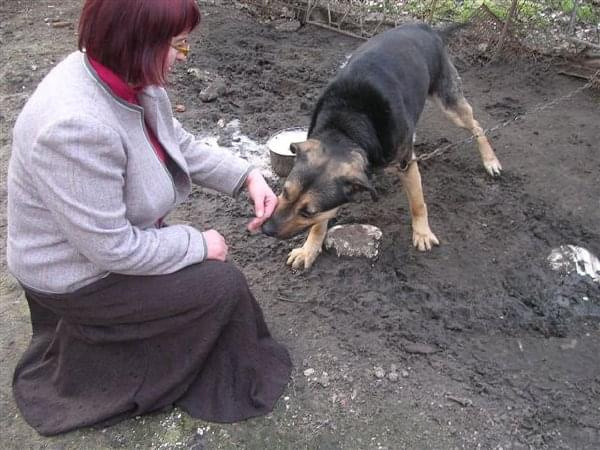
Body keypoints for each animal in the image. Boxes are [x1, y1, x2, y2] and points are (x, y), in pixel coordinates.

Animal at [262, 22, 502, 268]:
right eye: (284, 191)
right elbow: (322, 223)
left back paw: (490, 161)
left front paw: (422, 233)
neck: (347, 127)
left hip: (450, 102)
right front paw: (309, 248)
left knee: (476, 125)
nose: (266, 230)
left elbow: (418, 202)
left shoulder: (406, 165)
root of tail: (426, 27)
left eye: (308, 212)